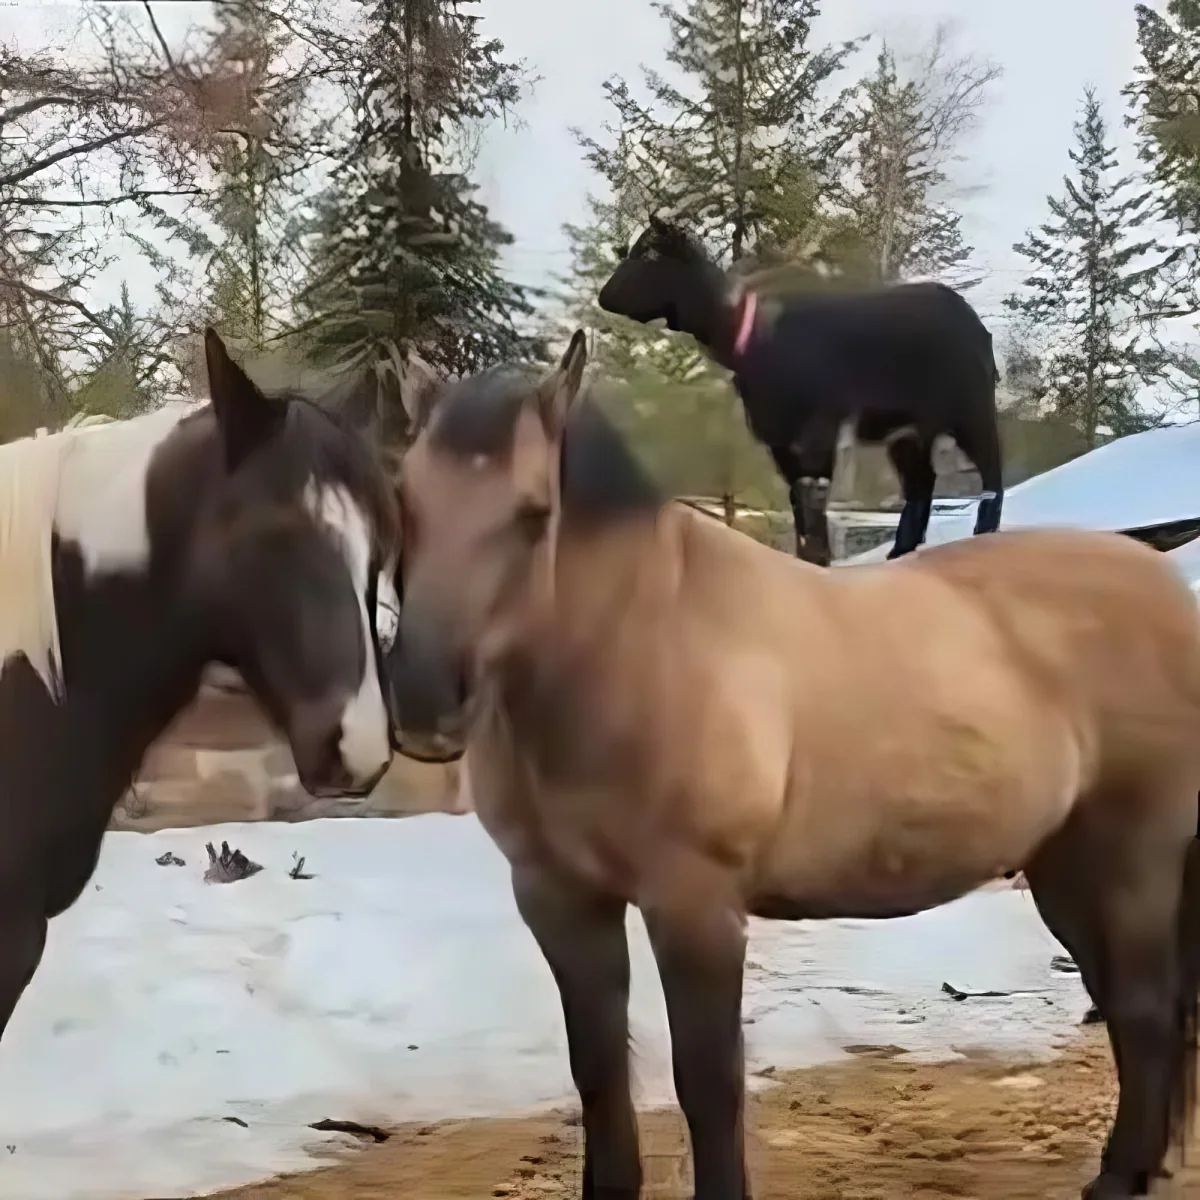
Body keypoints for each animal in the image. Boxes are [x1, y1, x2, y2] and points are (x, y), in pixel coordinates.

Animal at [385, 333, 1200, 1200]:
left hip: (1133, 859)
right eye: (404, 502)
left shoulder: (696, 907)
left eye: (535, 514)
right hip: (1065, 868)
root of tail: (1166, 586)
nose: (425, 703)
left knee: (1145, 1009)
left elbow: (708, 1083)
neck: (634, 645)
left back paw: (1118, 1177)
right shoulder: (560, 900)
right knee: (1128, 1007)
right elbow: (598, 1072)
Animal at [596, 216, 1004, 567]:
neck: (749, 334)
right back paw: (900, 553)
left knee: (991, 468)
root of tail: (975, 324)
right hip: (906, 430)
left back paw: (984, 532)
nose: (604, 297)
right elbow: (797, 505)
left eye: (650, 255)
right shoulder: (778, 438)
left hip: (971, 408)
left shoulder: (816, 432)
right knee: (921, 484)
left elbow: (812, 502)